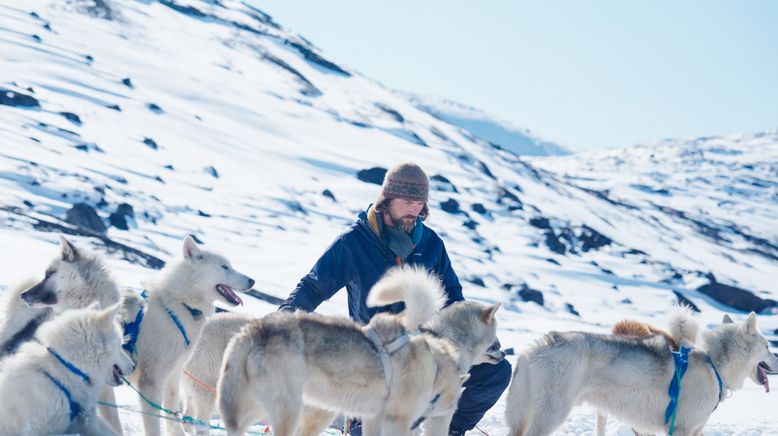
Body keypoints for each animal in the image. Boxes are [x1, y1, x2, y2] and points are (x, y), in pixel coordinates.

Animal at [123, 235, 252, 436]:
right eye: (225, 267)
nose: (252, 281)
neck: (181, 305)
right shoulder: (151, 380)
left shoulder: (171, 376)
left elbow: (171, 416)